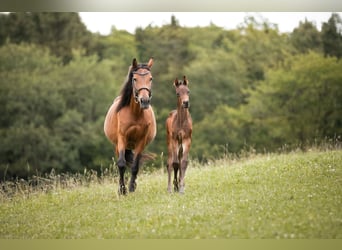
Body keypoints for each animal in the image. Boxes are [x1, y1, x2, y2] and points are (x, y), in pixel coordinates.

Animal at [104, 57, 156, 194]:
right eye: (135, 79)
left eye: (150, 78)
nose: (144, 101)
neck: (135, 114)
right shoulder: (122, 138)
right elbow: (121, 164)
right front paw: (122, 190)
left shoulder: (141, 141)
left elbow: (135, 166)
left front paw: (131, 187)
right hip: (118, 145)